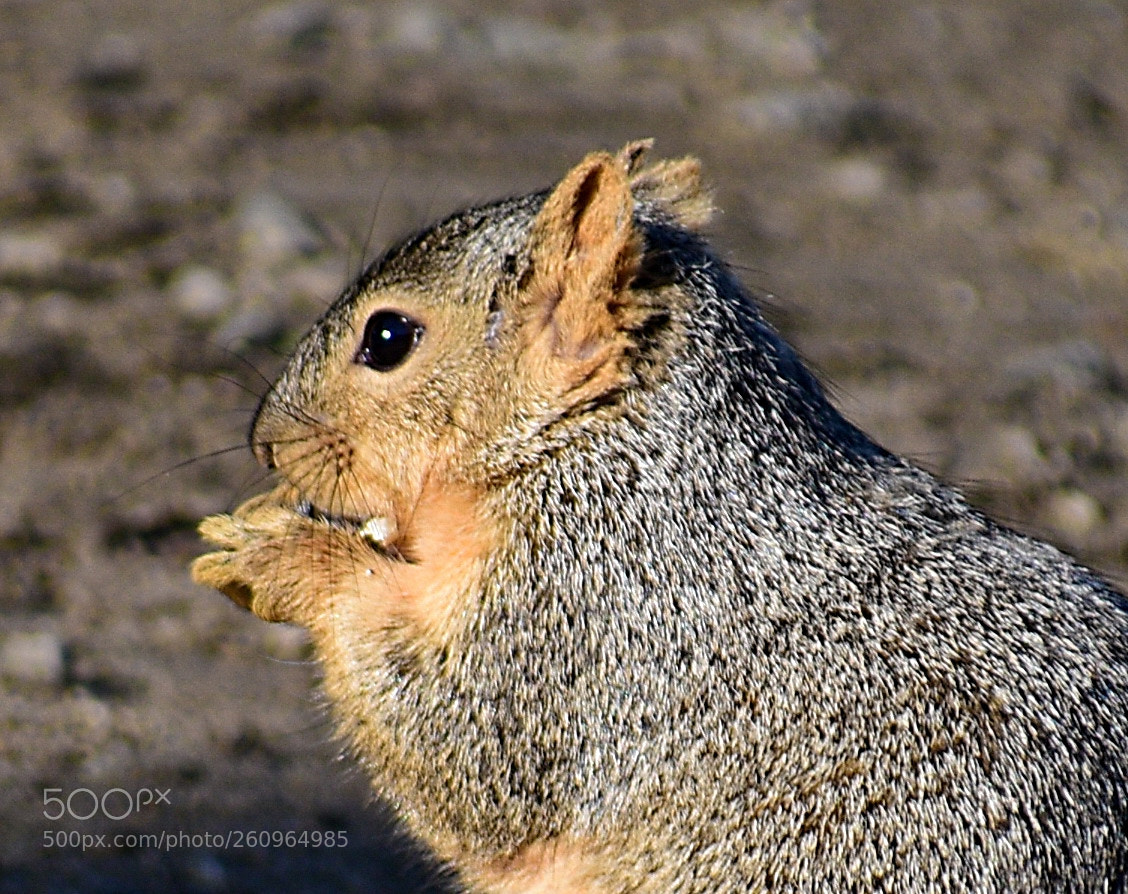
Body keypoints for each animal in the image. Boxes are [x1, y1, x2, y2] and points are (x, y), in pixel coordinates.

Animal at [192, 141, 1128, 893]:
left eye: (388, 338)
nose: (264, 443)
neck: (609, 448)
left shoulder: (593, 610)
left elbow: (469, 746)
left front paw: (286, 557)